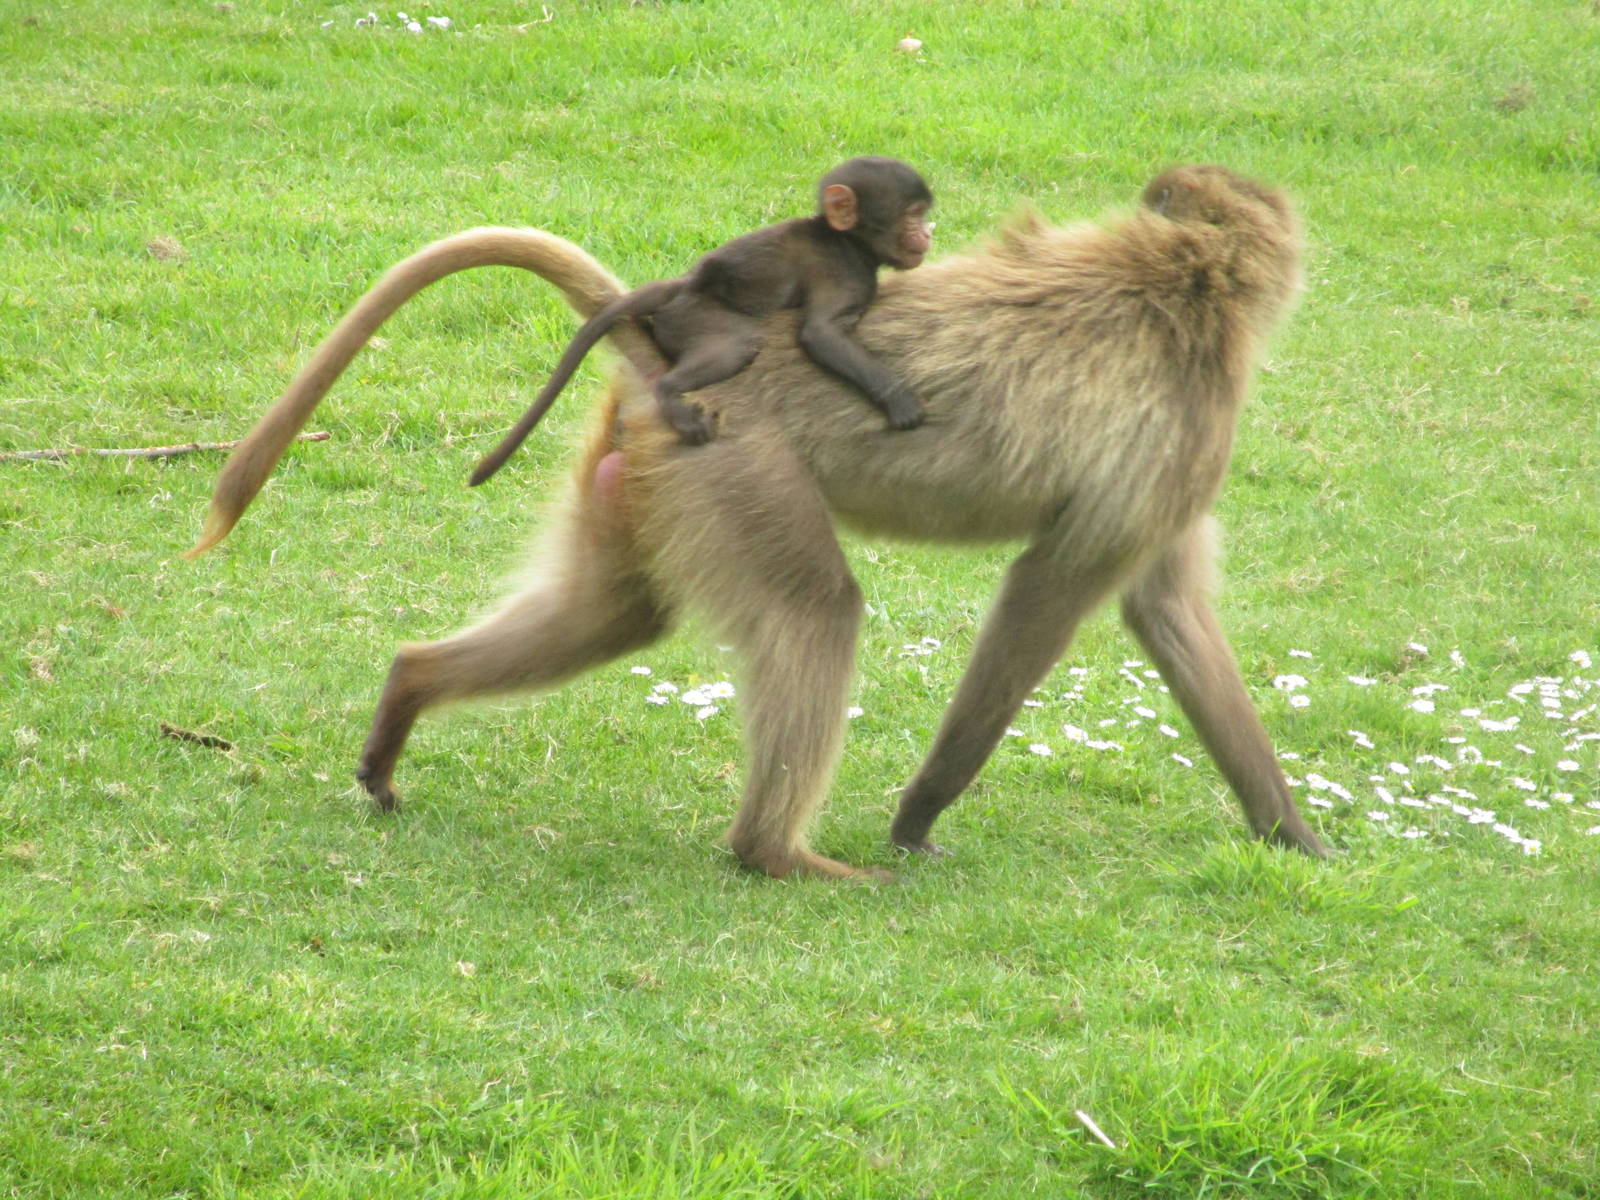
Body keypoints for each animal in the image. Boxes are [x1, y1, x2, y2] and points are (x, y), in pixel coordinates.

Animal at [467, 156, 933, 484]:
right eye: (912, 215)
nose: (928, 232)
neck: (847, 240)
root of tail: (685, 286)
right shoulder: (845, 273)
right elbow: (820, 334)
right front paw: (898, 400)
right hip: (694, 318)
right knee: (734, 343)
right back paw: (671, 392)